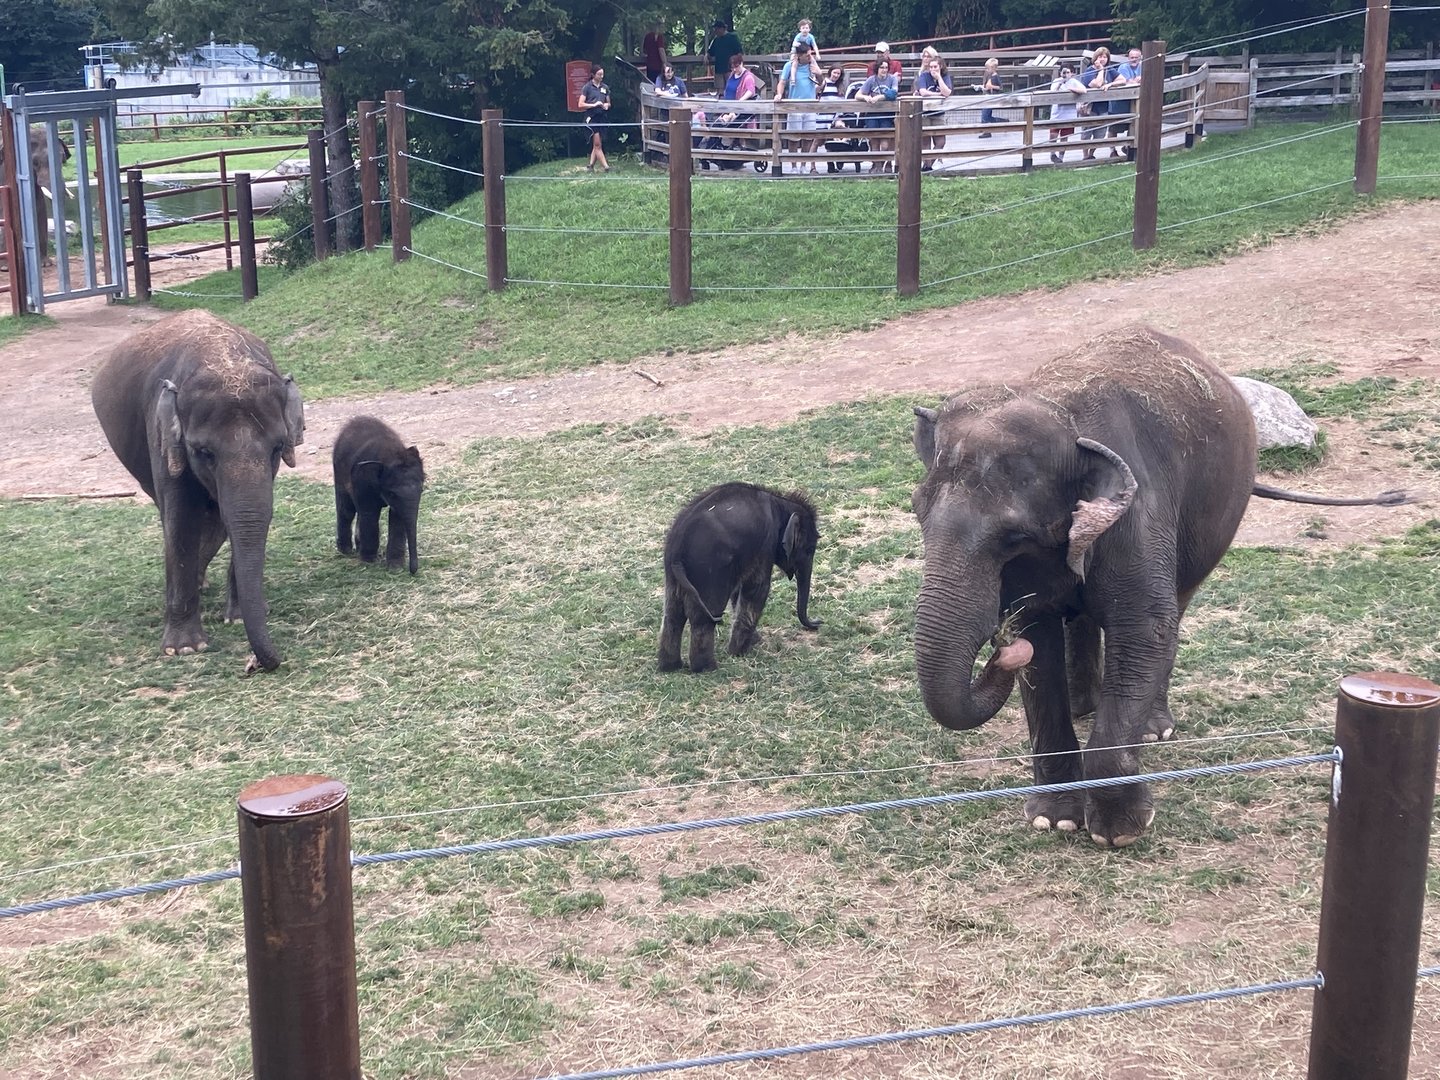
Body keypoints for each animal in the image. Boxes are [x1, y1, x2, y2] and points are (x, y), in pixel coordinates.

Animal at [91, 310, 305, 674]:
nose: (265, 663)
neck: (222, 356)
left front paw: (235, 618)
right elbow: (181, 520)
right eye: (204, 452)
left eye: (277, 448)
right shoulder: (162, 437)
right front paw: (185, 648)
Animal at [332, 415, 425, 574]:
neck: (392, 454)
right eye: (392, 494)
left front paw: (395, 567)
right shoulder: (363, 480)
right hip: (338, 471)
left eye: (422, 489)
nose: (413, 572)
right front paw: (369, 561)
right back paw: (346, 551)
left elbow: (397, 517)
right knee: (347, 510)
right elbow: (370, 513)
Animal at [658, 482, 822, 673]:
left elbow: (738, 591)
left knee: (673, 614)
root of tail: (677, 551)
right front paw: (739, 652)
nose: (818, 622)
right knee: (702, 616)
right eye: (809, 550)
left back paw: (670, 667)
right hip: (710, 570)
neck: (780, 501)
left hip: (674, 574)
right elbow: (756, 589)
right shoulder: (764, 544)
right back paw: (707, 669)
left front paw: (753, 642)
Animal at [910, 327, 1408, 847]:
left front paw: (1118, 832)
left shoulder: (1137, 517)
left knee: (1177, 607)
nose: (1002, 651)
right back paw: (1085, 706)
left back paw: (1151, 729)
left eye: (1012, 536)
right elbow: (1038, 638)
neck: (1062, 415)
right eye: (917, 512)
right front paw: (1054, 819)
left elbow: (1143, 631)